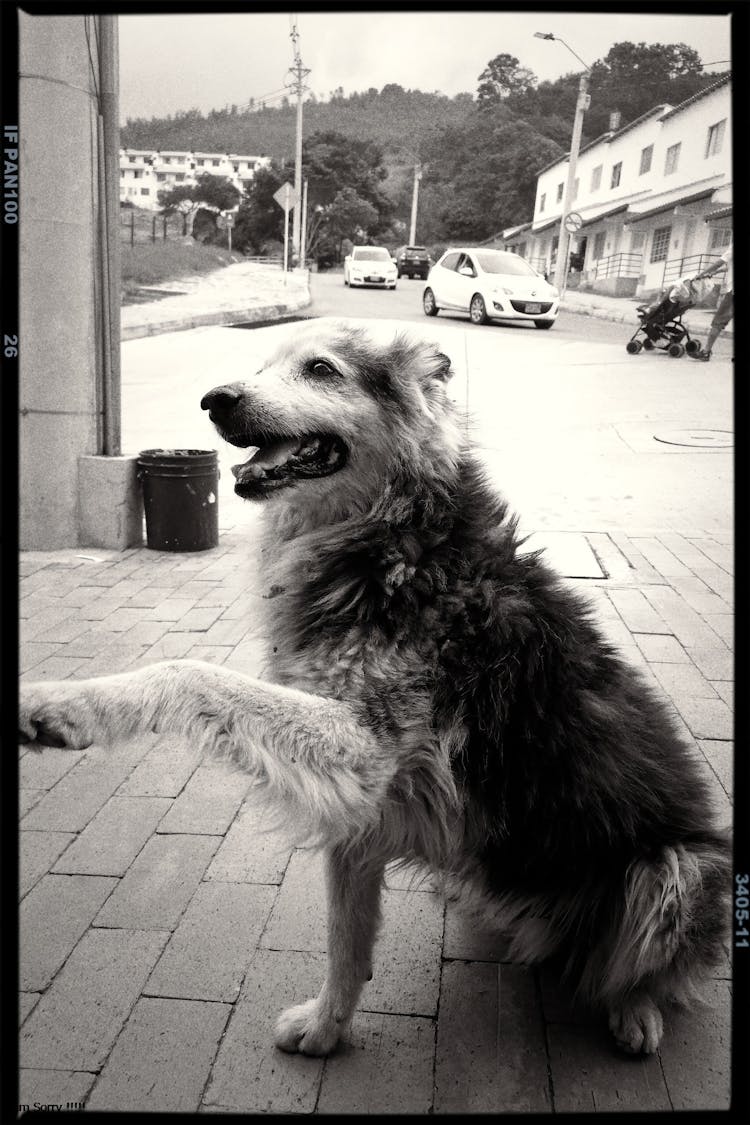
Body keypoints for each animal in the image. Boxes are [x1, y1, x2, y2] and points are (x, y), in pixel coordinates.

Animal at [19, 321, 733, 1057]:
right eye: (262, 365)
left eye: (320, 369)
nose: (214, 400)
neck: (391, 540)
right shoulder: (361, 802)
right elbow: (347, 939)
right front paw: (326, 1028)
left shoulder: (368, 749)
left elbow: (188, 670)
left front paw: (60, 706)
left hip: (682, 870)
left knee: (649, 971)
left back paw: (633, 1010)